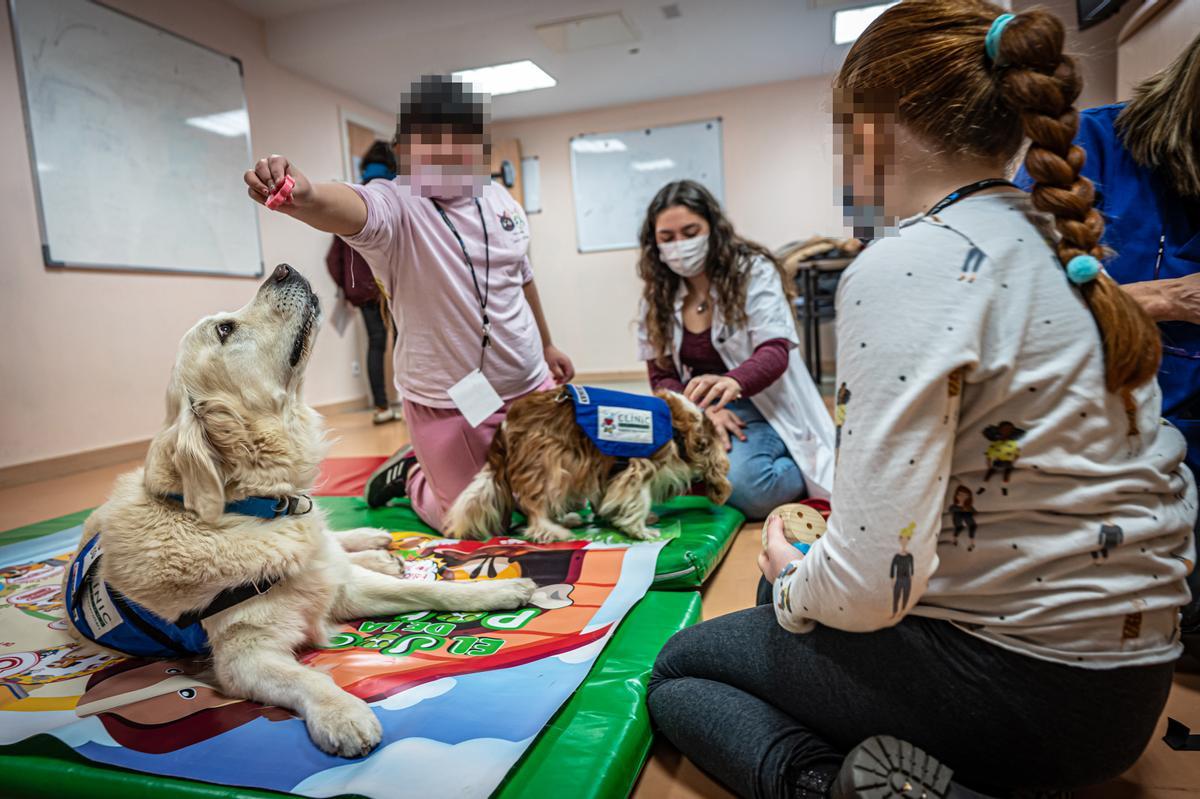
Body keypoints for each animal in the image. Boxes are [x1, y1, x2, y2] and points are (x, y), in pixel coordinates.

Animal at [63, 266, 532, 753]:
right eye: (225, 330)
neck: (255, 507)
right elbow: (308, 679)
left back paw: (376, 543)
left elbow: (429, 593)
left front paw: (495, 591)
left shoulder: (341, 587)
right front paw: (342, 714)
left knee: (336, 544)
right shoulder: (245, 656)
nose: (282, 268)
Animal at [444, 386, 729, 542]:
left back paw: (567, 520)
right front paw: (641, 530)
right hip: (547, 463)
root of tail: (503, 428)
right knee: (533, 507)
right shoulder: (640, 466)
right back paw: (552, 530)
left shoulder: (610, 470)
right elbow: (639, 499)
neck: (681, 431)